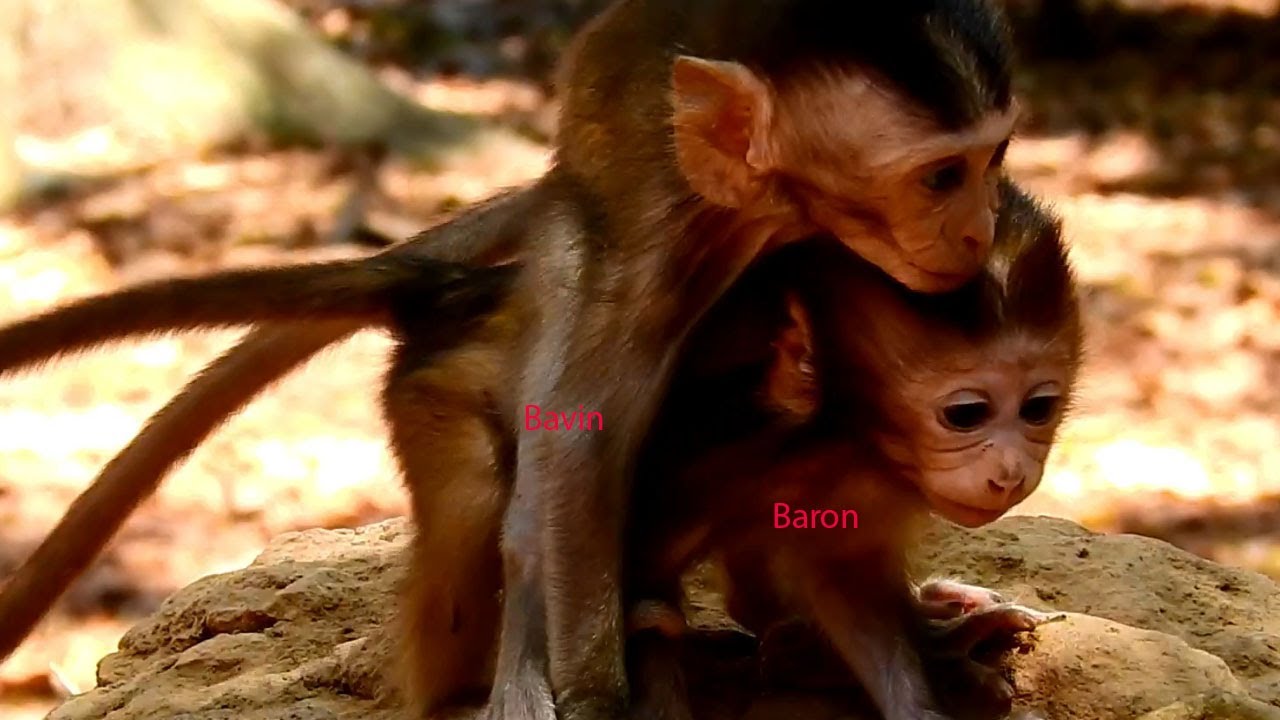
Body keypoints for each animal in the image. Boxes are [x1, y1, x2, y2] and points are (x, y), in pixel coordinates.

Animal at [0, 3, 1022, 717]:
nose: (982, 227)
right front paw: (600, 691)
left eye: (993, 157)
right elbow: (573, 458)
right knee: (494, 494)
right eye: (939, 176)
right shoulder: (652, 237)